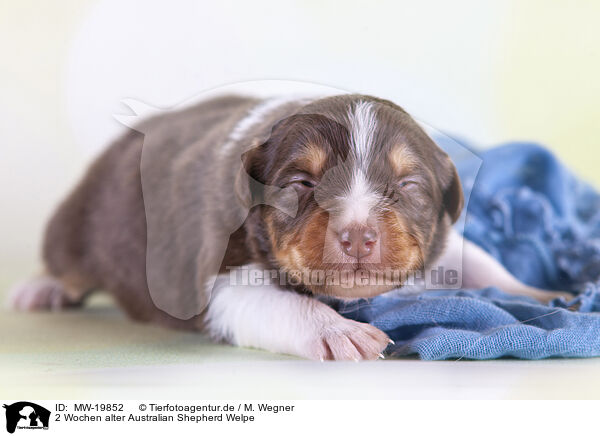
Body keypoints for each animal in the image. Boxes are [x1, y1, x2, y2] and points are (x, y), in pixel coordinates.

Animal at [10, 93, 572, 360]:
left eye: (409, 185)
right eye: (301, 182)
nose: (358, 236)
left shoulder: (439, 239)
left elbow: (476, 260)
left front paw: (541, 293)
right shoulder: (219, 275)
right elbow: (270, 302)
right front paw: (338, 331)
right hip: (81, 219)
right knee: (66, 259)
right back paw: (43, 287)